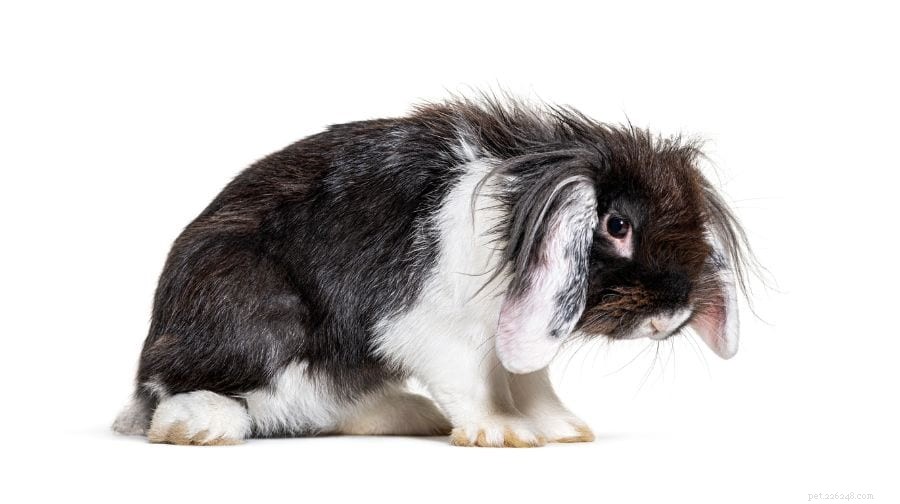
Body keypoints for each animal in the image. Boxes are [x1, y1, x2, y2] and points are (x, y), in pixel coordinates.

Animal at [112, 95, 750, 447]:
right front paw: (502, 432)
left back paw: (409, 414)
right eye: (617, 225)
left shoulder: (513, 333)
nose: (674, 313)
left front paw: (564, 428)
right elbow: (474, 384)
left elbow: (531, 382)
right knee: (195, 390)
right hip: (252, 310)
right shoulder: (434, 332)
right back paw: (200, 425)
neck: (516, 219)